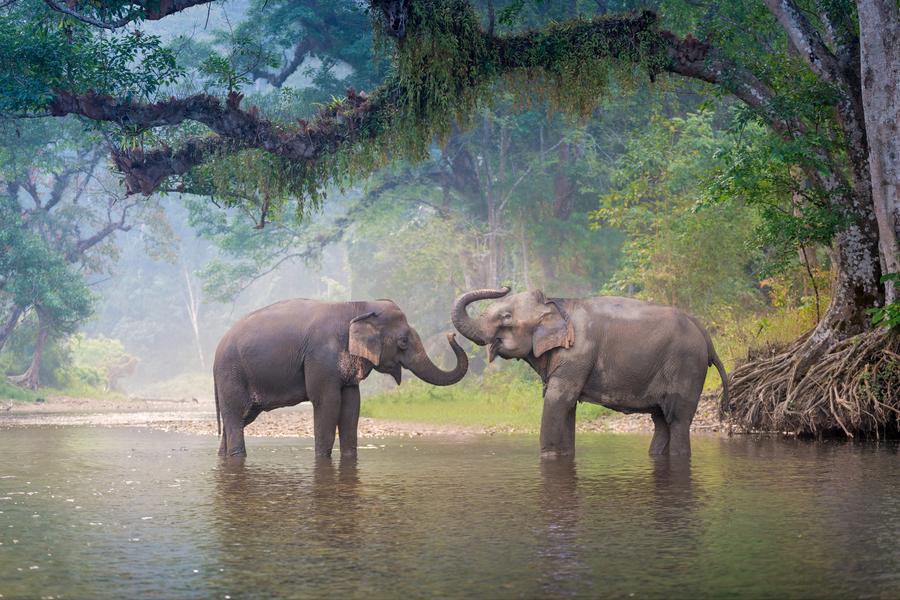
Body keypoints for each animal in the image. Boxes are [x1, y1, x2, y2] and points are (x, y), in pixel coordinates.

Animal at [214, 298, 468, 458]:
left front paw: (349, 458)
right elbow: (327, 402)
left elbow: (352, 405)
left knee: (241, 418)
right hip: (231, 374)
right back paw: (237, 456)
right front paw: (322, 458)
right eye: (403, 341)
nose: (452, 335)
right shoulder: (321, 357)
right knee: (236, 416)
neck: (356, 306)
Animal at [454, 288, 728, 458]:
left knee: (678, 420)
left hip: (686, 366)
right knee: (661, 421)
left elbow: (557, 401)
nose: (505, 285)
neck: (556, 303)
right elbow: (566, 407)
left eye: (506, 317)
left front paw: (548, 457)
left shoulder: (577, 354)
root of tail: (706, 336)